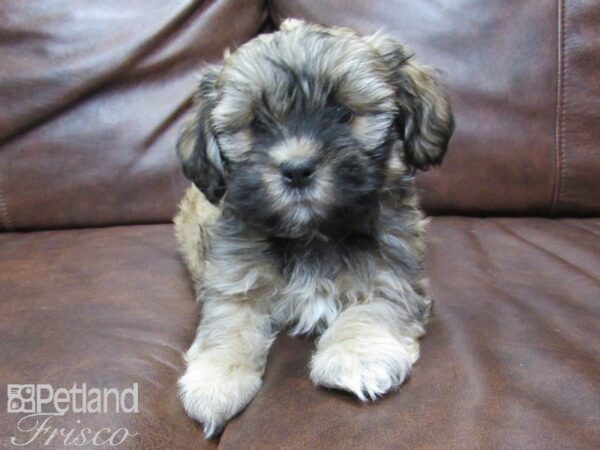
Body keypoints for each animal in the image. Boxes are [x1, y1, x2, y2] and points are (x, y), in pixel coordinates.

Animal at [171, 19, 452, 438]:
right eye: (256, 124)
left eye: (342, 113)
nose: (297, 169)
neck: (314, 235)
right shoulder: (233, 276)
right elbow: (229, 323)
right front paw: (216, 381)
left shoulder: (394, 273)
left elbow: (373, 308)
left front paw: (356, 356)